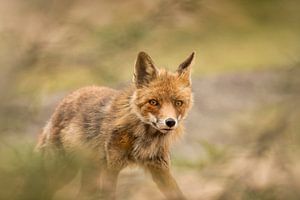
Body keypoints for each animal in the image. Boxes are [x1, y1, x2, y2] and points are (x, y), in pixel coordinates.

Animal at [35, 52, 195, 200]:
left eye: (178, 103)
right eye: (153, 102)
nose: (170, 122)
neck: (143, 138)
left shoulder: (160, 168)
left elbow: (178, 195)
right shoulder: (112, 165)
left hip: (88, 177)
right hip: (64, 171)